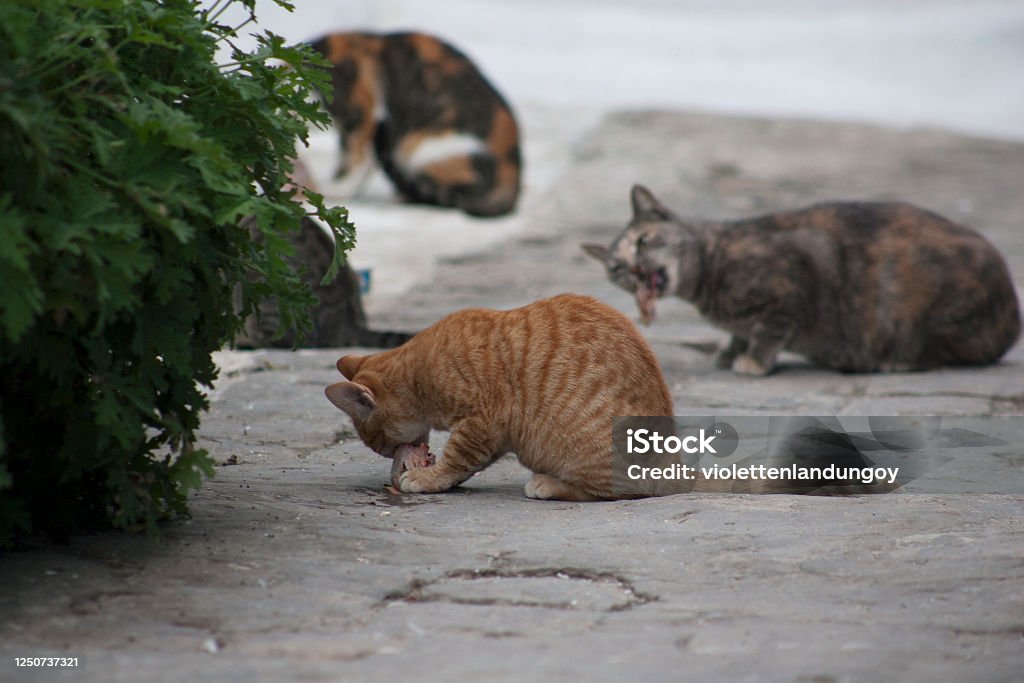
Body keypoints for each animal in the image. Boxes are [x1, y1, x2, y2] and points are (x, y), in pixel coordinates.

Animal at [319, 294, 671, 501]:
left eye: (379, 443)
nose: (389, 457)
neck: (418, 372)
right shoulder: (494, 434)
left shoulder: (482, 421)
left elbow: (458, 457)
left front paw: (428, 477)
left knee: (620, 489)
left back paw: (549, 484)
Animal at [581, 185, 1019, 374]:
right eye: (616, 269)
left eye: (643, 240)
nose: (633, 269)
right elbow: (741, 332)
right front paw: (731, 350)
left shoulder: (792, 284)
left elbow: (769, 330)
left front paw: (753, 361)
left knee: (954, 352)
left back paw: (897, 362)